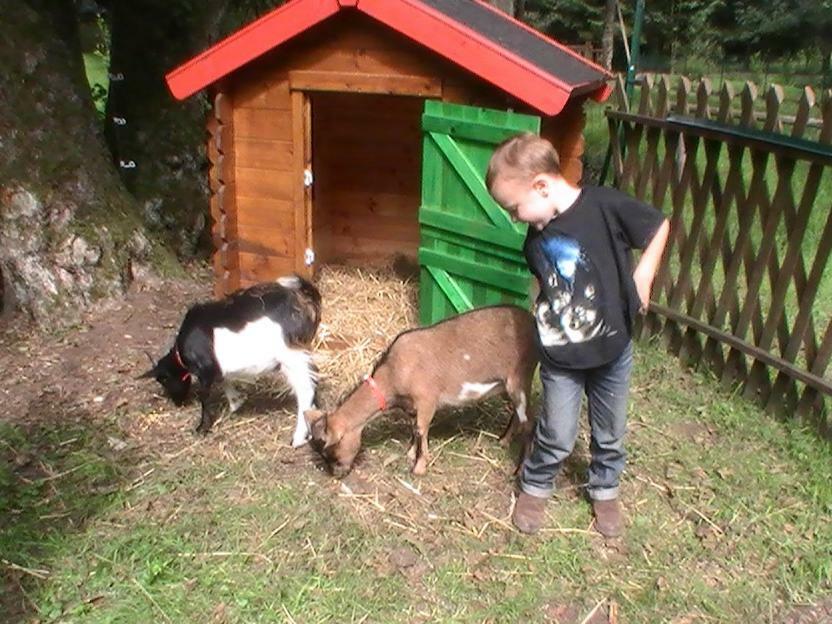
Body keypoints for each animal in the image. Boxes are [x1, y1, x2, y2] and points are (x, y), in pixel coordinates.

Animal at [140, 276, 322, 446]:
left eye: (164, 380)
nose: (178, 403)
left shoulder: (205, 369)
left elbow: (205, 397)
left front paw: (201, 428)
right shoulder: (216, 367)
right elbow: (224, 379)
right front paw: (236, 403)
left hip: (290, 355)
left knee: (306, 389)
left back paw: (298, 438)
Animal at [308, 306, 540, 478]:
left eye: (332, 451)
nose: (336, 473)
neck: (393, 372)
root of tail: (532, 322)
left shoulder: (427, 399)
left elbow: (421, 429)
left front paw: (419, 467)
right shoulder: (412, 406)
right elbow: (414, 428)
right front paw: (411, 454)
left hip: (520, 376)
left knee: (530, 423)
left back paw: (518, 470)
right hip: (506, 384)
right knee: (518, 414)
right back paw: (504, 441)